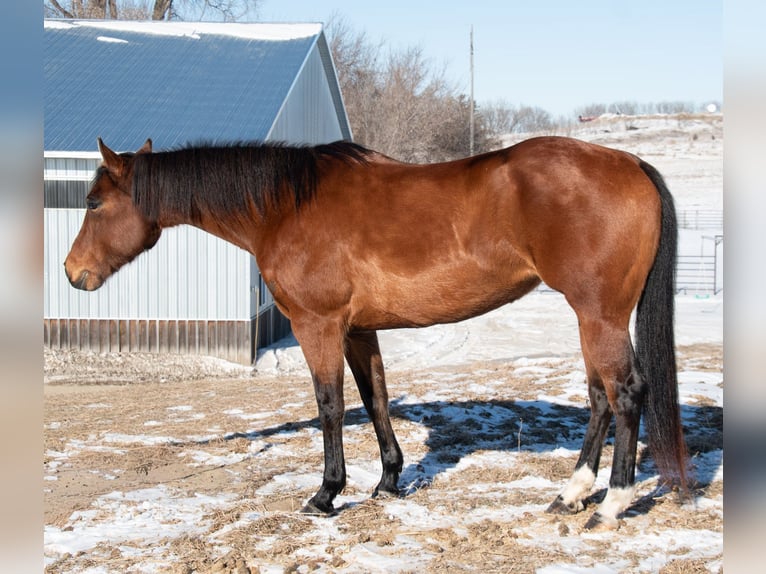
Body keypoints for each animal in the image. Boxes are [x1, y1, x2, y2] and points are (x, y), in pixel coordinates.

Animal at [64, 136, 689, 530]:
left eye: (93, 202)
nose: (73, 273)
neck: (285, 207)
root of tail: (632, 164)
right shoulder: (359, 331)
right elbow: (376, 398)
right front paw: (388, 481)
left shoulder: (317, 326)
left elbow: (330, 405)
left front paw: (325, 494)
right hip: (591, 318)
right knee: (600, 398)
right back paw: (572, 494)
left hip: (599, 315)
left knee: (625, 394)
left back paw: (611, 504)